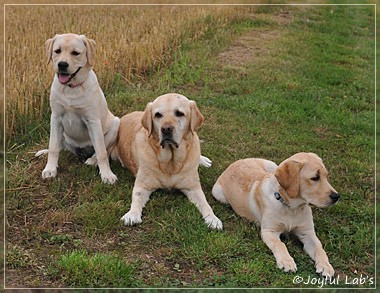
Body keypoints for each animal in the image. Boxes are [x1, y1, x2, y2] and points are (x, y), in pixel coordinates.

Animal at [36, 33, 120, 182]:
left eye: (75, 53)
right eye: (57, 51)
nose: (62, 64)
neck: (71, 88)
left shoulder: (92, 121)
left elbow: (101, 151)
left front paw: (107, 174)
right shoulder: (55, 118)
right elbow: (53, 147)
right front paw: (50, 169)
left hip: (116, 123)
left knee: (102, 149)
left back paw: (92, 160)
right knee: (60, 147)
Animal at [111, 92, 221, 229]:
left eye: (179, 113)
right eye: (158, 115)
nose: (166, 129)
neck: (171, 162)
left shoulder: (193, 188)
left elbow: (205, 203)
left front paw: (213, 218)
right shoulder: (143, 186)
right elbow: (136, 198)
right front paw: (132, 214)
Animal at [212, 152, 340, 278]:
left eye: (326, 176)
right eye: (315, 178)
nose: (336, 196)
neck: (291, 208)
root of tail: (237, 162)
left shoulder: (307, 233)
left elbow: (319, 248)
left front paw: (326, 266)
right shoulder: (269, 231)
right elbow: (280, 244)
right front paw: (286, 261)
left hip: (272, 165)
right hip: (219, 195)